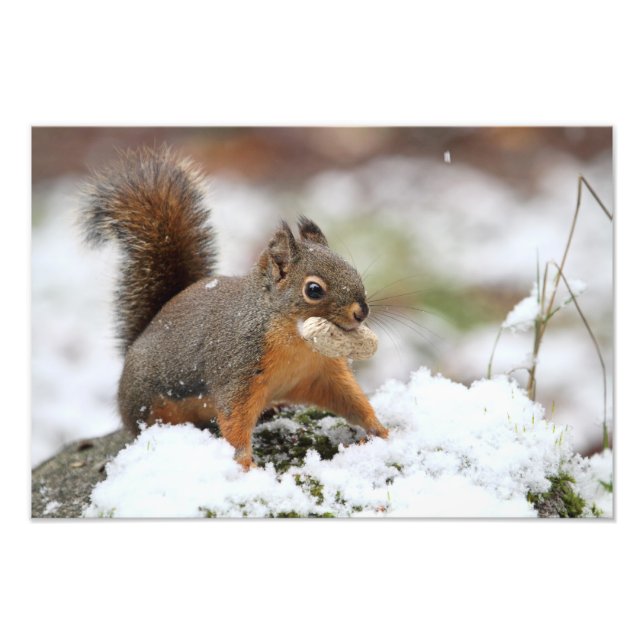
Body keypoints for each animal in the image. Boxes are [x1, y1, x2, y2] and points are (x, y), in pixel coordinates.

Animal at [80, 146, 388, 469]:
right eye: (313, 290)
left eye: (352, 270)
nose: (362, 311)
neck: (296, 340)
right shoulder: (238, 369)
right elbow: (234, 418)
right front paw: (244, 465)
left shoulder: (322, 372)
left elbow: (350, 399)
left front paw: (380, 430)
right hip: (148, 403)